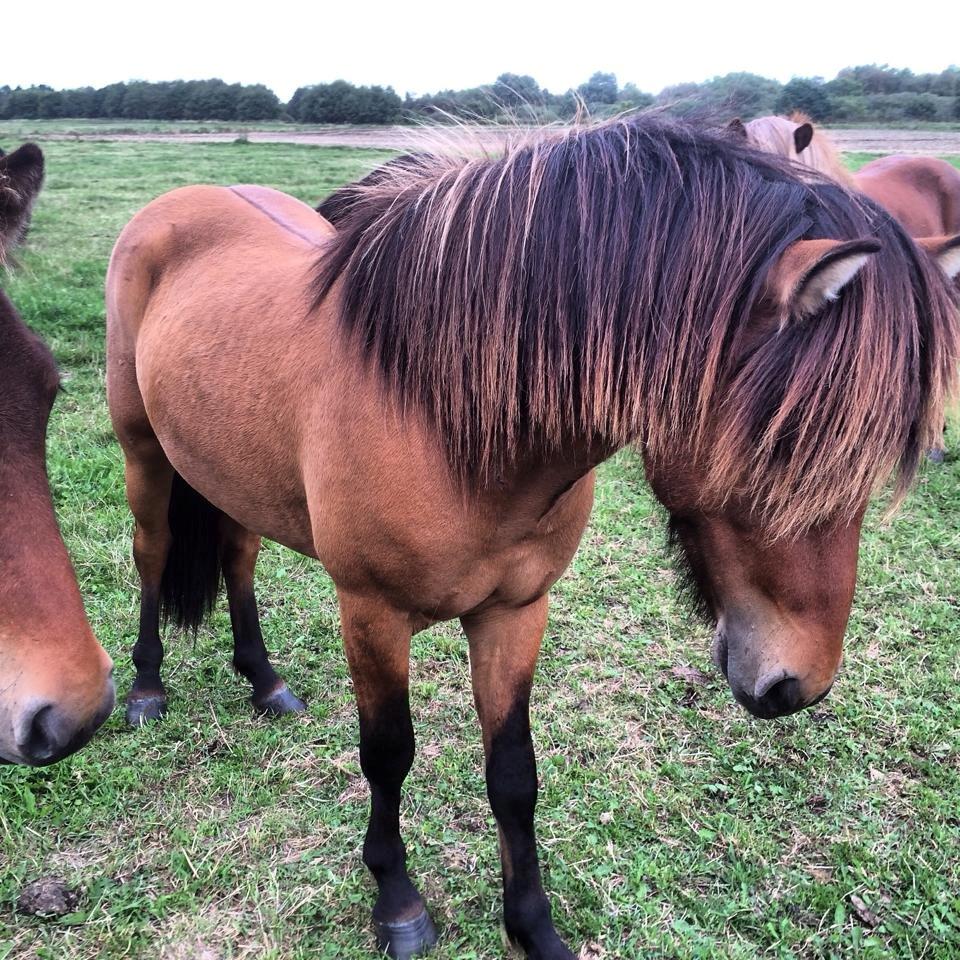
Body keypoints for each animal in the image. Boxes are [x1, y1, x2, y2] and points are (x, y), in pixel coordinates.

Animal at [107, 120, 960, 960]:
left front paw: (533, 927)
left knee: (238, 559)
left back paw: (264, 680)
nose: (798, 685)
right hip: (144, 453)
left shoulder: (515, 611)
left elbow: (514, 773)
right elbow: (388, 755)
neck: (439, 411)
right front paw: (399, 905)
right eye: (789, 443)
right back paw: (147, 688)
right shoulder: (370, 614)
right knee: (152, 554)